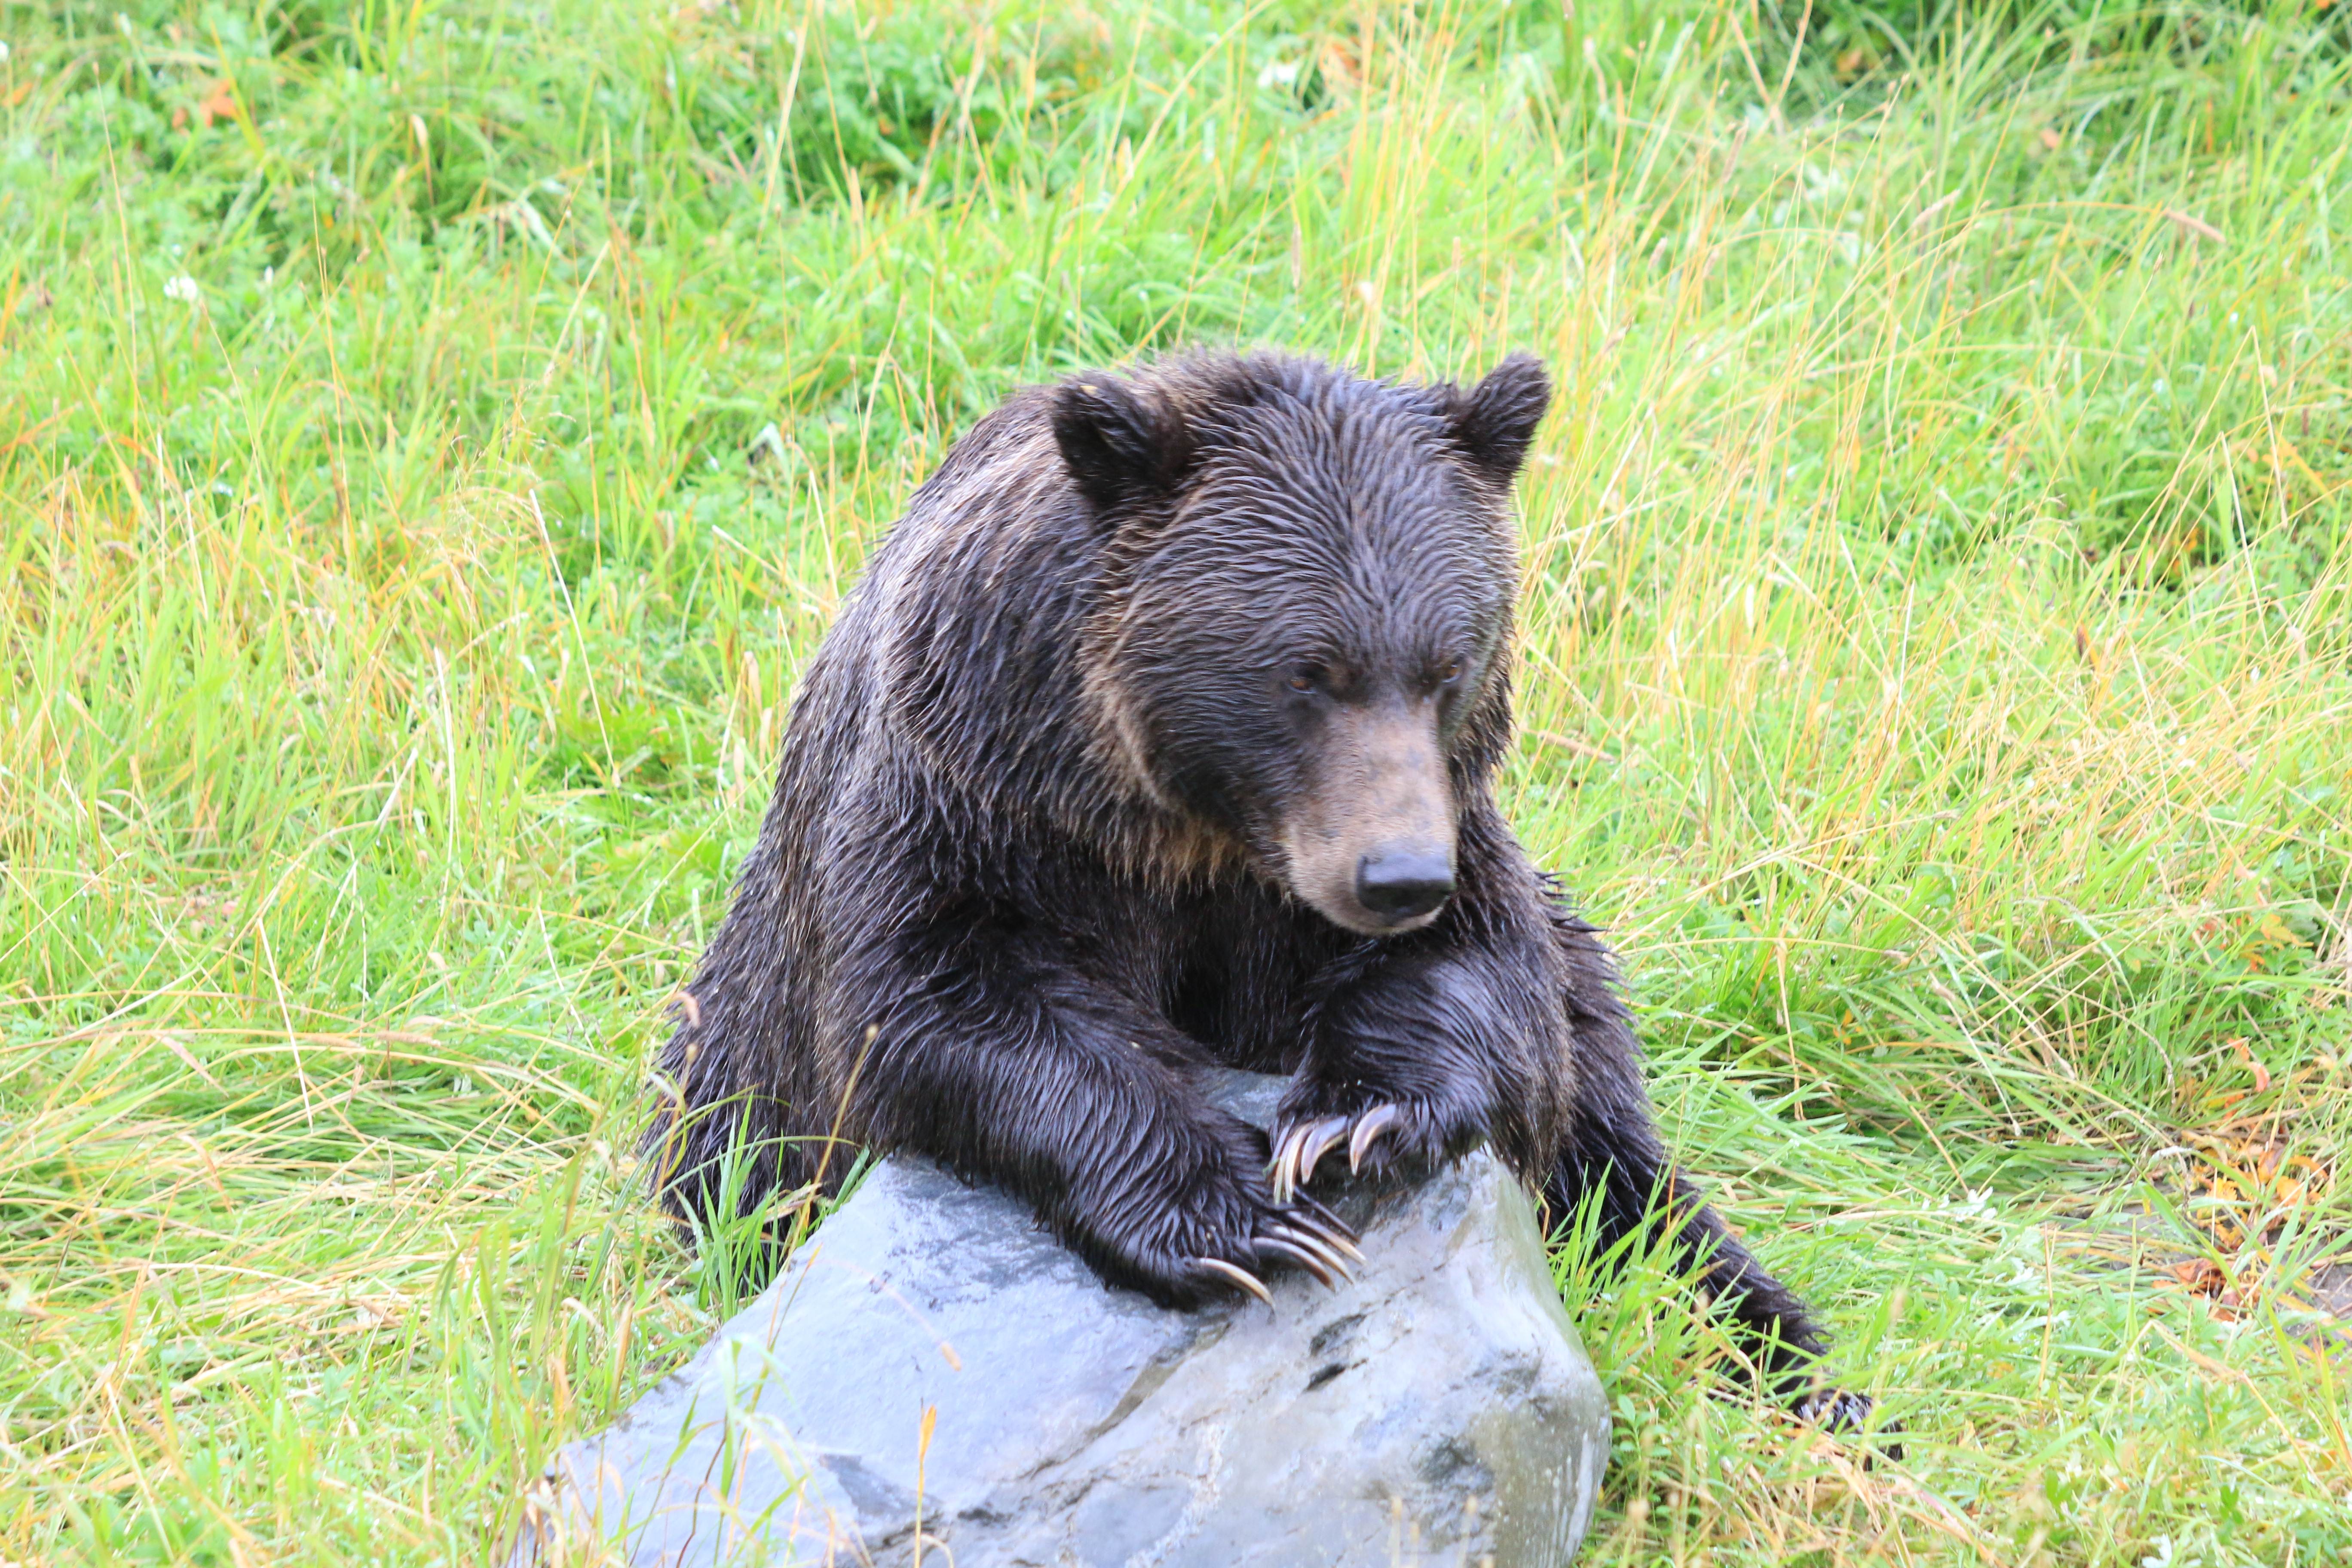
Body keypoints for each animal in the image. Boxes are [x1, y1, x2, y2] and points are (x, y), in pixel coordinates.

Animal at [650, 350, 1879, 1434]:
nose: (1398, 875)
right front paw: (1237, 1221)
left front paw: (1349, 1119)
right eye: (1305, 670)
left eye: (1448, 664)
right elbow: (937, 1008)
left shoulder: (1423, 843)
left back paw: (1815, 1381)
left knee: (1628, 1182)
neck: (1184, 833)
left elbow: (1489, 982)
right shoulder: (967, 803)